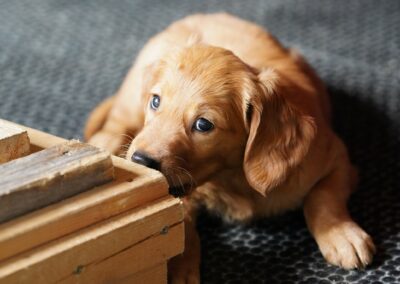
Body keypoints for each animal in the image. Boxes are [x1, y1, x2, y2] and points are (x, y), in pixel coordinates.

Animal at [84, 12, 376, 282]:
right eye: (156, 101)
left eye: (203, 124)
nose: (140, 160)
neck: (232, 178)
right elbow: (182, 221)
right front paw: (179, 266)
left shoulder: (335, 157)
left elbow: (323, 197)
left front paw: (341, 233)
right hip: (131, 99)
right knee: (113, 126)